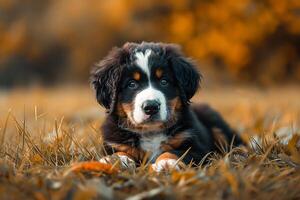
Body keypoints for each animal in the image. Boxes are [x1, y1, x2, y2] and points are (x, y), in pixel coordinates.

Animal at [90, 41, 243, 172]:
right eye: (131, 84)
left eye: (164, 81)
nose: (151, 107)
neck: (151, 132)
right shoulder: (114, 143)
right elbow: (121, 152)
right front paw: (114, 160)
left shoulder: (196, 148)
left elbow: (174, 152)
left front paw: (166, 163)